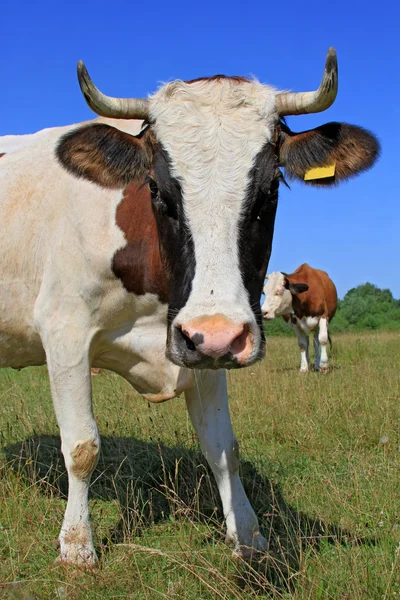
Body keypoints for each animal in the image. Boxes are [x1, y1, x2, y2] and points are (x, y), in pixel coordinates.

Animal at [0, 49, 380, 564]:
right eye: (157, 191)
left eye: (271, 190)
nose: (217, 336)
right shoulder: (65, 331)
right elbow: (81, 446)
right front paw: (77, 546)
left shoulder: (206, 343)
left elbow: (223, 448)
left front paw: (247, 533)